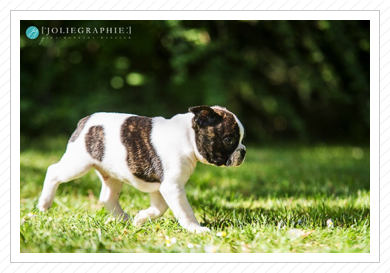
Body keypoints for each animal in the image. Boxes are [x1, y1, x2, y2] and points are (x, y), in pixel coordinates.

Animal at [39, 105, 247, 233]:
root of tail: (85, 121)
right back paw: (44, 203)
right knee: (53, 171)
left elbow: (160, 208)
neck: (188, 137)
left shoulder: (159, 187)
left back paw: (124, 219)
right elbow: (184, 210)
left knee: (107, 197)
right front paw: (195, 229)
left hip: (112, 175)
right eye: (229, 140)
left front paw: (141, 218)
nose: (243, 151)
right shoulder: (172, 186)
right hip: (78, 163)